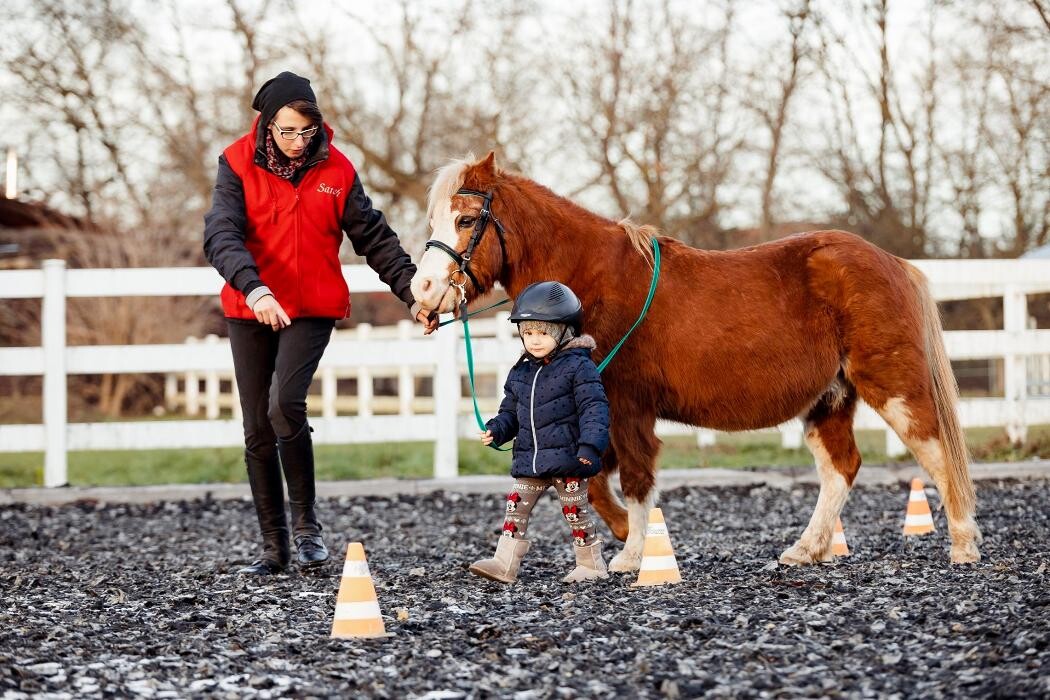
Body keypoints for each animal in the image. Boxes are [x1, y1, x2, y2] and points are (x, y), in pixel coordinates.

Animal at [405, 153, 978, 570]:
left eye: (467, 218)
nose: (424, 290)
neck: (593, 283)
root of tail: (894, 263)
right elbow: (595, 481)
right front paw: (623, 538)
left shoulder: (625, 408)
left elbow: (633, 480)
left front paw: (633, 556)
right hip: (829, 399)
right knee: (841, 469)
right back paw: (805, 550)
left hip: (892, 386)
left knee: (937, 453)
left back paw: (963, 544)